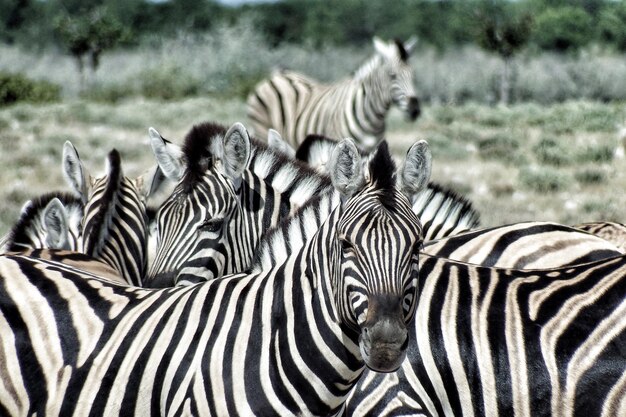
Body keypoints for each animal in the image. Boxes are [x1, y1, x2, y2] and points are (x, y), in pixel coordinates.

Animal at [245, 36, 420, 150]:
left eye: (413, 75)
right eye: (392, 76)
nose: (415, 110)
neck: (372, 118)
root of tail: (277, 75)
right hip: (262, 130)